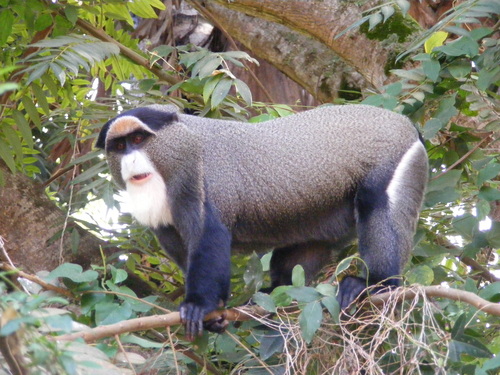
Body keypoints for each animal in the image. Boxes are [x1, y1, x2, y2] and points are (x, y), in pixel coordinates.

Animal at [96, 105, 426, 340]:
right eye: (120, 146)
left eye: (139, 139)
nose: (130, 160)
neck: (184, 147)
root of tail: (407, 125)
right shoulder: (166, 226)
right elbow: (185, 252)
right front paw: (217, 313)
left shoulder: (205, 185)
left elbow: (209, 237)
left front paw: (200, 305)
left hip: (393, 161)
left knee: (376, 202)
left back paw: (376, 285)